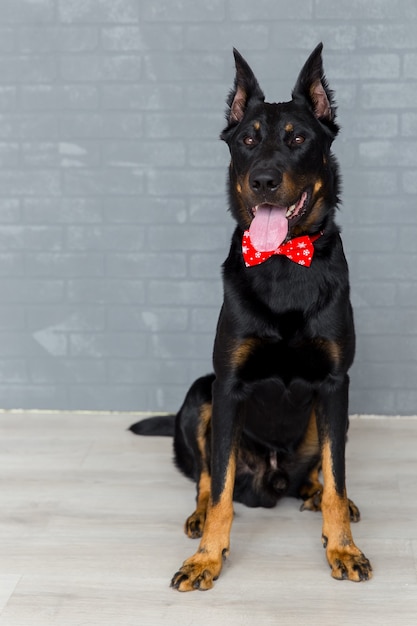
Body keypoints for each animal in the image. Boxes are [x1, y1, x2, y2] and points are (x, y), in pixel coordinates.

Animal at [130, 45, 370, 588]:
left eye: (299, 138)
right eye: (247, 140)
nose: (263, 180)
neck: (283, 261)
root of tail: (271, 478)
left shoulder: (335, 384)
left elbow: (337, 477)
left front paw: (343, 546)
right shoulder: (229, 384)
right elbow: (219, 488)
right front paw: (206, 557)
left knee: (320, 474)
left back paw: (320, 497)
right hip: (201, 393)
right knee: (205, 476)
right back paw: (199, 519)